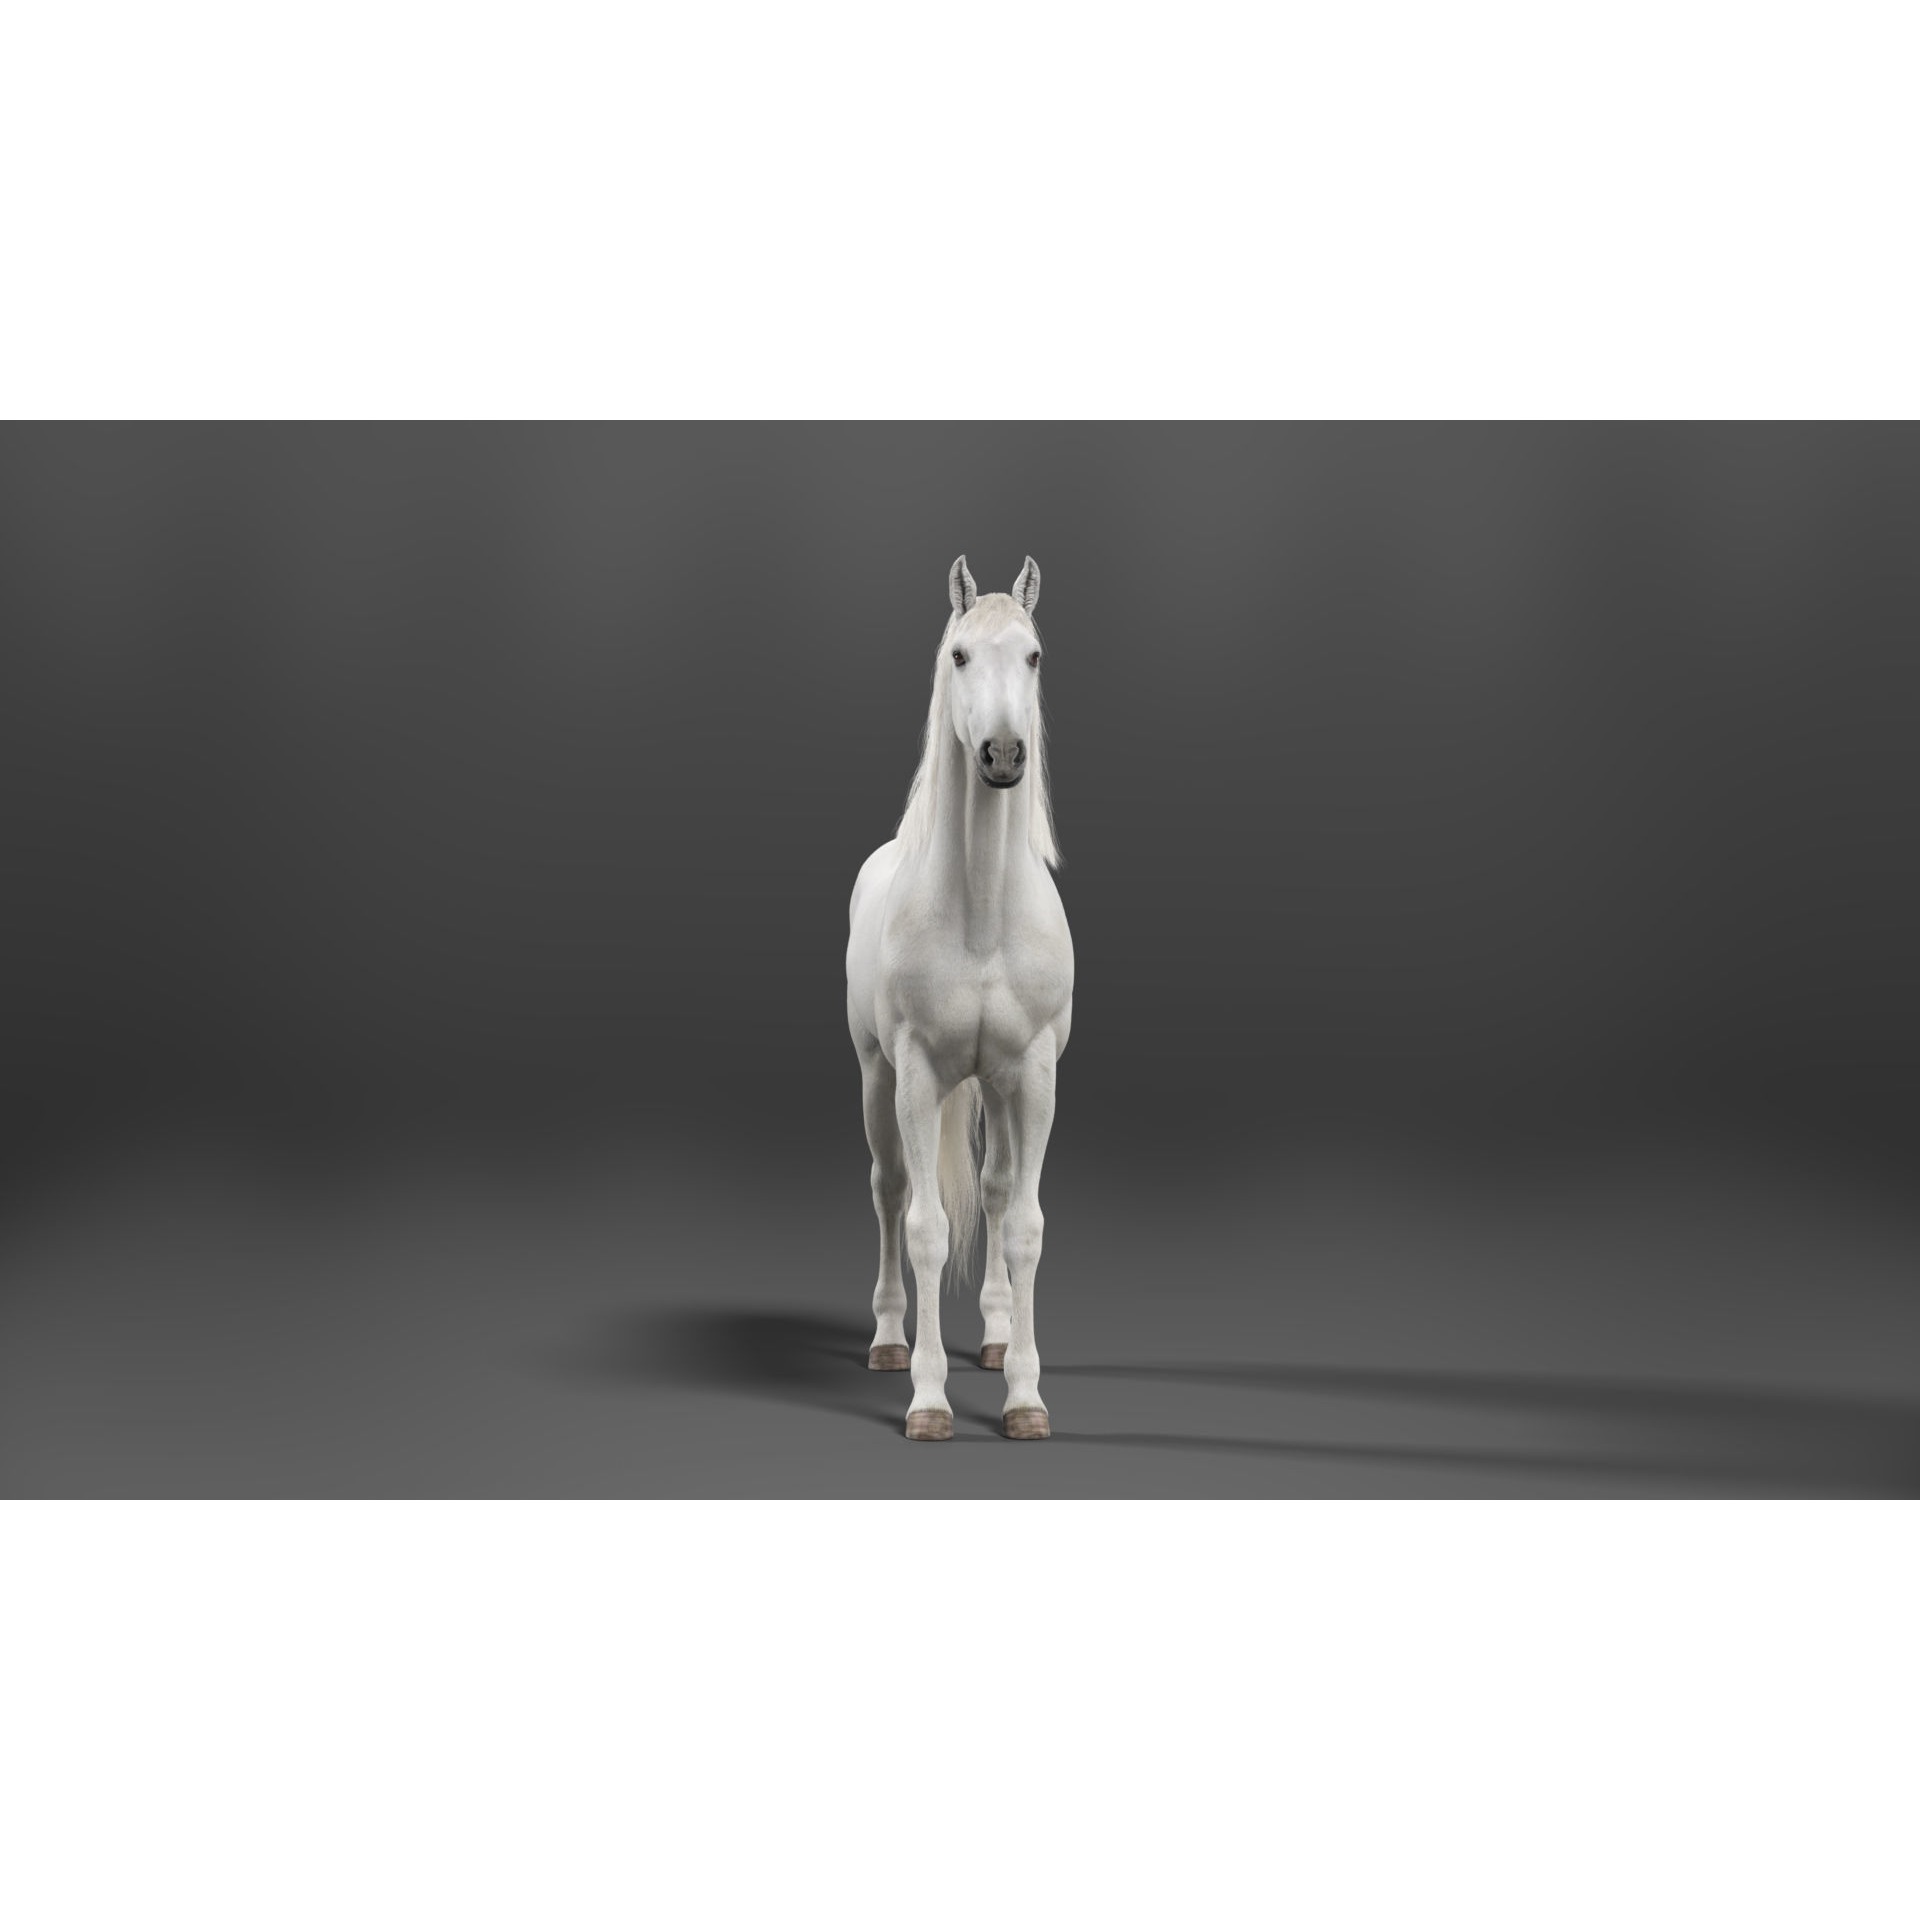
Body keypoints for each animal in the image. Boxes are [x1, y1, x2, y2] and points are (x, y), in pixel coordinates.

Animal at [845, 553, 1074, 1441]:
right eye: (960, 656)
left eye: (1034, 656)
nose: (1003, 755)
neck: (979, 913)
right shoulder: (914, 1074)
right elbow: (926, 1229)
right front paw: (930, 1399)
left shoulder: (1034, 1077)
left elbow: (1024, 1224)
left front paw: (1024, 1395)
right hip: (876, 1077)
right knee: (889, 1191)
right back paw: (887, 1341)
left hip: (998, 1091)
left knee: (1000, 1190)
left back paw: (1000, 1335)